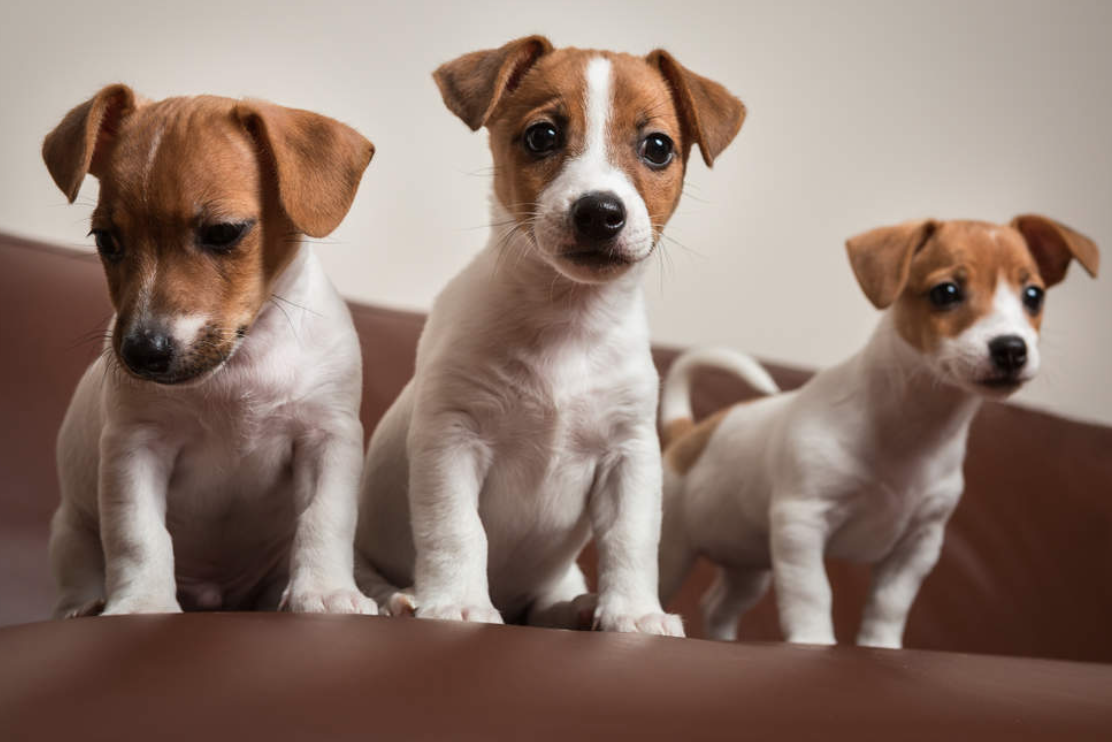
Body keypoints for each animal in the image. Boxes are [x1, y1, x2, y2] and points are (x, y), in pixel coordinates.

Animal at [44, 83, 378, 618]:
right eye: (106, 239)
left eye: (223, 232)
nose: (142, 353)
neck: (239, 366)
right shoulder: (136, 447)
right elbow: (139, 535)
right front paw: (142, 603)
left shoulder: (328, 438)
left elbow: (325, 518)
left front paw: (325, 591)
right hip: (71, 533)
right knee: (79, 576)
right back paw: (85, 606)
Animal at [355, 36, 747, 640]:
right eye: (543, 135)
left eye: (658, 147)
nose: (601, 211)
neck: (569, 322)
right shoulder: (452, 439)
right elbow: (457, 530)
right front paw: (458, 603)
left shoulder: (630, 456)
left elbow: (632, 541)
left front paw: (634, 612)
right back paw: (401, 599)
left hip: (557, 576)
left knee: (545, 605)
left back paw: (578, 609)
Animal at [653, 214, 1098, 645]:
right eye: (946, 292)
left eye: (1034, 296)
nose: (1011, 348)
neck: (912, 427)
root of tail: (687, 435)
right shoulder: (802, 523)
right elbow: (812, 593)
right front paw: (813, 641)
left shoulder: (918, 546)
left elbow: (889, 604)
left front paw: (879, 646)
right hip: (674, 552)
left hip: (749, 564)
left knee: (718, 606)